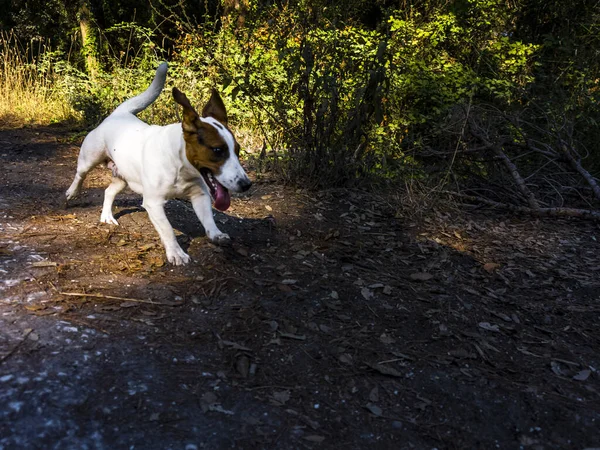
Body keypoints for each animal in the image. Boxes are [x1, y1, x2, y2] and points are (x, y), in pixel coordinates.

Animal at [65, 60, 251, 264]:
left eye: (237, 150)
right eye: (217, 150)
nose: (246, 184)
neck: (179, 163)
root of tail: (119, 114)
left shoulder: (200, 195)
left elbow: (208, 219)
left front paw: (216, 234)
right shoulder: (153, 203)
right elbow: (168, 229)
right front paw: (176, 252)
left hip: (124, 177)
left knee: (109, 191)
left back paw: (106, 216)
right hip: (89, 158)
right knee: (80, 174)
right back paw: (72, 192)